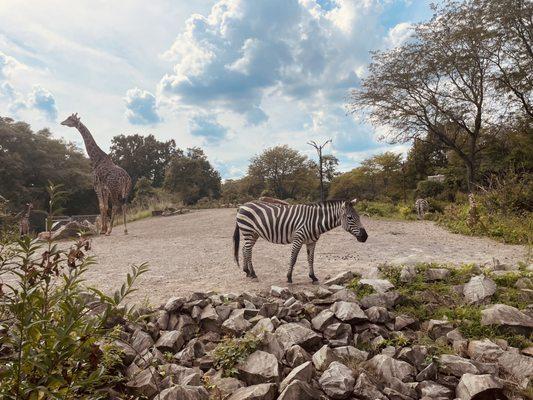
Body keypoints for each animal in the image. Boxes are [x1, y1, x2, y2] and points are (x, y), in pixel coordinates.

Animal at [232, 198, 366, 282]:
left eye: (359, 216)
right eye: (350, 217)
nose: (365, 237)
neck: (315, 221)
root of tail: (242, 205)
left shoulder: (311, 242)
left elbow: (311, 259)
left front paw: (313, 277)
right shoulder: (298, 238)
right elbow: (293, 258)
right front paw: (289, 277)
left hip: (254, 233)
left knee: (244, 249)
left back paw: (247, 272)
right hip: (248, 231)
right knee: (248, 251)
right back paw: (253, 273)